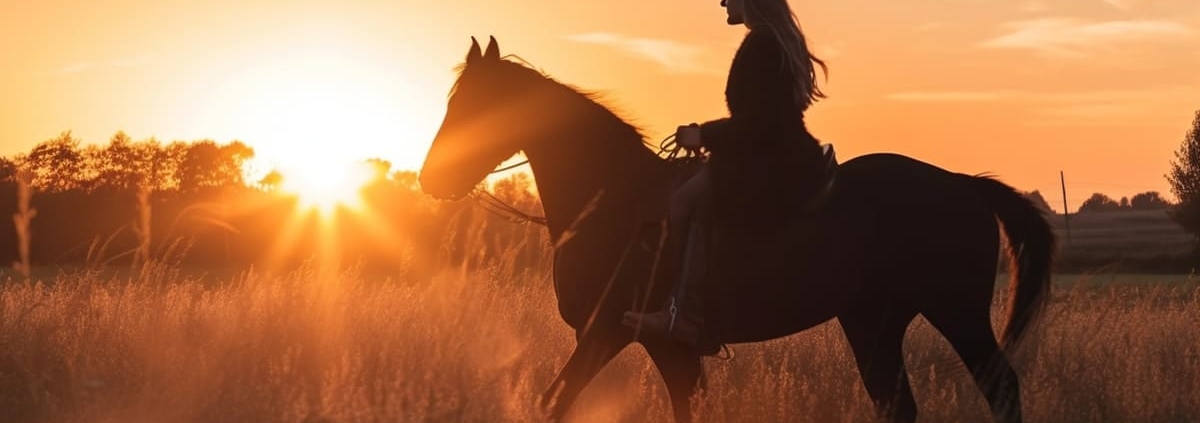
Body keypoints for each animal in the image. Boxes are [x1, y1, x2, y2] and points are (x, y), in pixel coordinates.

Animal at [417, 37, 1056, 423]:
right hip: (873, 321)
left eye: (475, 104)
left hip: (956, 311)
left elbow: (558, 402)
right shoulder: (658, 348)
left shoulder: (613, 334)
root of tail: (961, 182)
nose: (431, 179)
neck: (614, 199)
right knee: (898, 403)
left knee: (1001, 388)